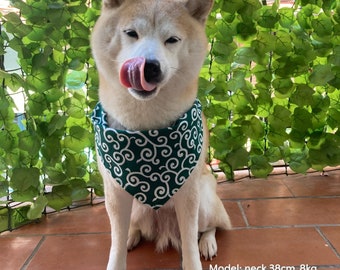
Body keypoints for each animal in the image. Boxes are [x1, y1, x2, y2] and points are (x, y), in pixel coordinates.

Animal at [90, 0, 231, 270]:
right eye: (131, 33)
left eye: (172, 39)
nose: (149, 66)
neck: (147, 130)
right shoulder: (114, 192)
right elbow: (115, 244)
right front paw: (119, 252)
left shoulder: (188, 194)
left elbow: (190, 244)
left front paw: (193, 260)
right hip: (135, 208)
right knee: (132, 229)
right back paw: (132, 236)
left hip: (205, 200)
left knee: (211, 227)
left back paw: (207, 242)